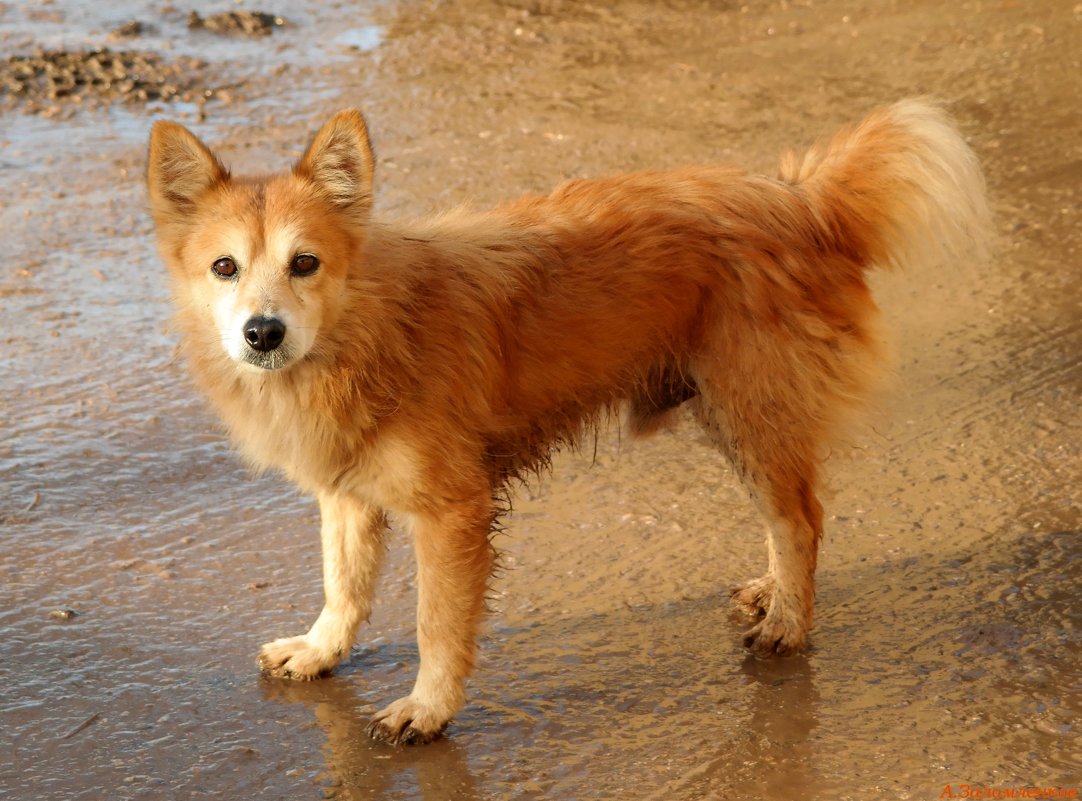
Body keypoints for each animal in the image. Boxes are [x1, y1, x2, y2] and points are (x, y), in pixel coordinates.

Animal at [148, 98, 991, 744]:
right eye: (225, 267)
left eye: (305, 263)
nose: (262, 332)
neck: (371, 333)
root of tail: (797, 196)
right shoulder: (348, 495)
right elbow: (344, 584)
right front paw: (321, 650)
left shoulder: (453, 513)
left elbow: (436, 623)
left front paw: (428, 707)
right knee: (787, 514)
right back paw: (773, 589)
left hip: (746, 408)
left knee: (800, 518)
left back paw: (788, 617)